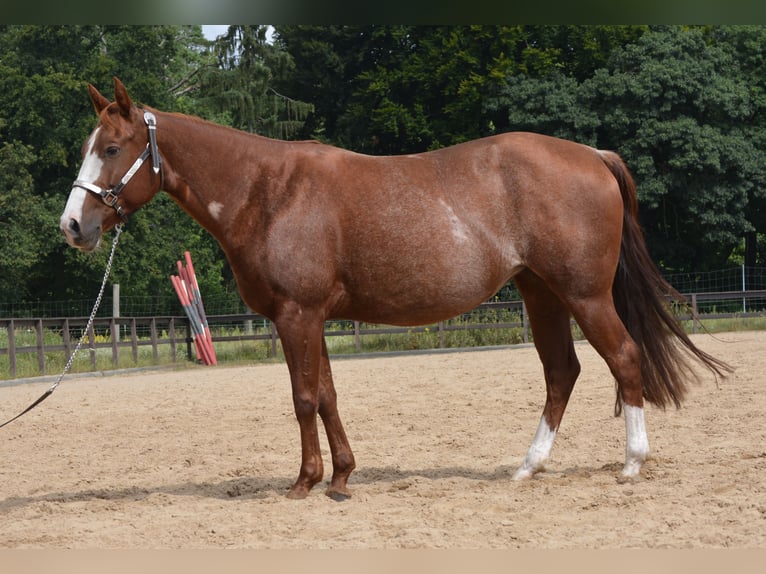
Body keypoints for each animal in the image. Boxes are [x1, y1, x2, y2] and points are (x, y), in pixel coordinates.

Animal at [60, 78, 730, 500]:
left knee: (624, 358)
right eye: (88, 147)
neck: (268, 190)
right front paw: (340, 478)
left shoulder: (297, 316)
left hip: (584, 295)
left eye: (112, 148)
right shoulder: (311, 319)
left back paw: (632, 465)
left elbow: (304, 397)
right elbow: (328, 395)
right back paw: (527, 467)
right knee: (562, 372)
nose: (72, 226)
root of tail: (592, 154)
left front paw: (304, 482)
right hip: (540, 295)